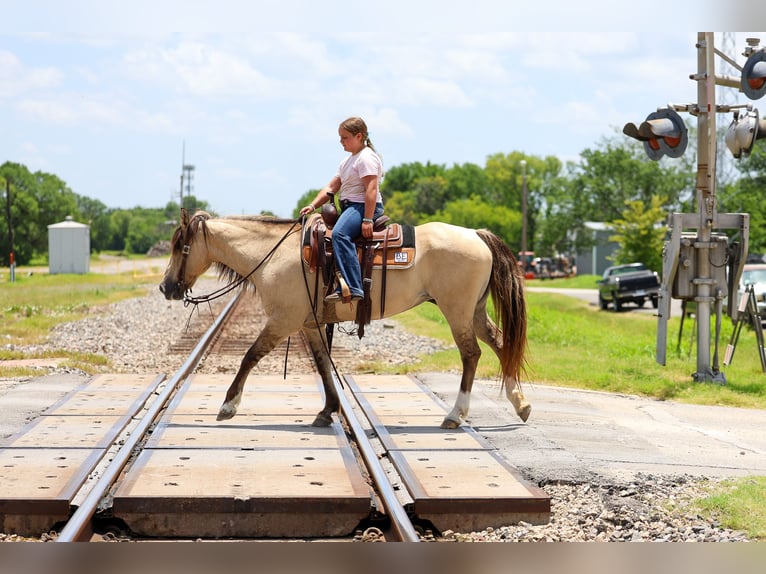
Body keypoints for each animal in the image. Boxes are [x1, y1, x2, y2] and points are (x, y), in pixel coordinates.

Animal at [159, 208, 531, 429]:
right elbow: (324, 365)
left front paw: (228, 405)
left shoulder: (282, 320)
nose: (165, 287)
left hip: (457, 311)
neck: (273, 255)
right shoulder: (309, 323)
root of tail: (476, 234)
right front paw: (328, 410)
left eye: (179, 247)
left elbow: (250, 356)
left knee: (471, 354)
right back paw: (521, 404)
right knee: (500, 344)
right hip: (475, 311)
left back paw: (455, 415)